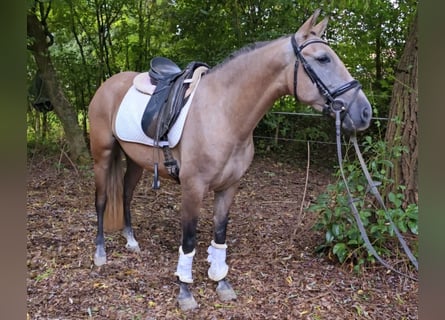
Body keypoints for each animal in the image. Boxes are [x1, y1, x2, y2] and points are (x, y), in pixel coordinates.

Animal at [86, 9, 372, 310]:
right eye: (323, 58)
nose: (364, 112)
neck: (223, 112)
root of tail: (108, 84)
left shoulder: (229, 187)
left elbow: (220, 233)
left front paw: (221, 281)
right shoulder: (193, 187)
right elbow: (189, 240)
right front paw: (185, 291)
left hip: (135, 161)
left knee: (126, 194)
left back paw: (131, 241)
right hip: (103, 156)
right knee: (102, 200)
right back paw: (100, 252)